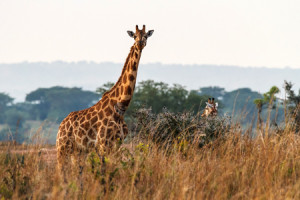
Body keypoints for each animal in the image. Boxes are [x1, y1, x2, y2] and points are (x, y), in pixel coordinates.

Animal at [55, 24, 155, 170]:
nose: (140, 43)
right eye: (135, 36)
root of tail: (61, 125)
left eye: (146, 36)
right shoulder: (103, 144)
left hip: (78, 150)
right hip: (62, 148)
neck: (121, 106)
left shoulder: (117, 144)